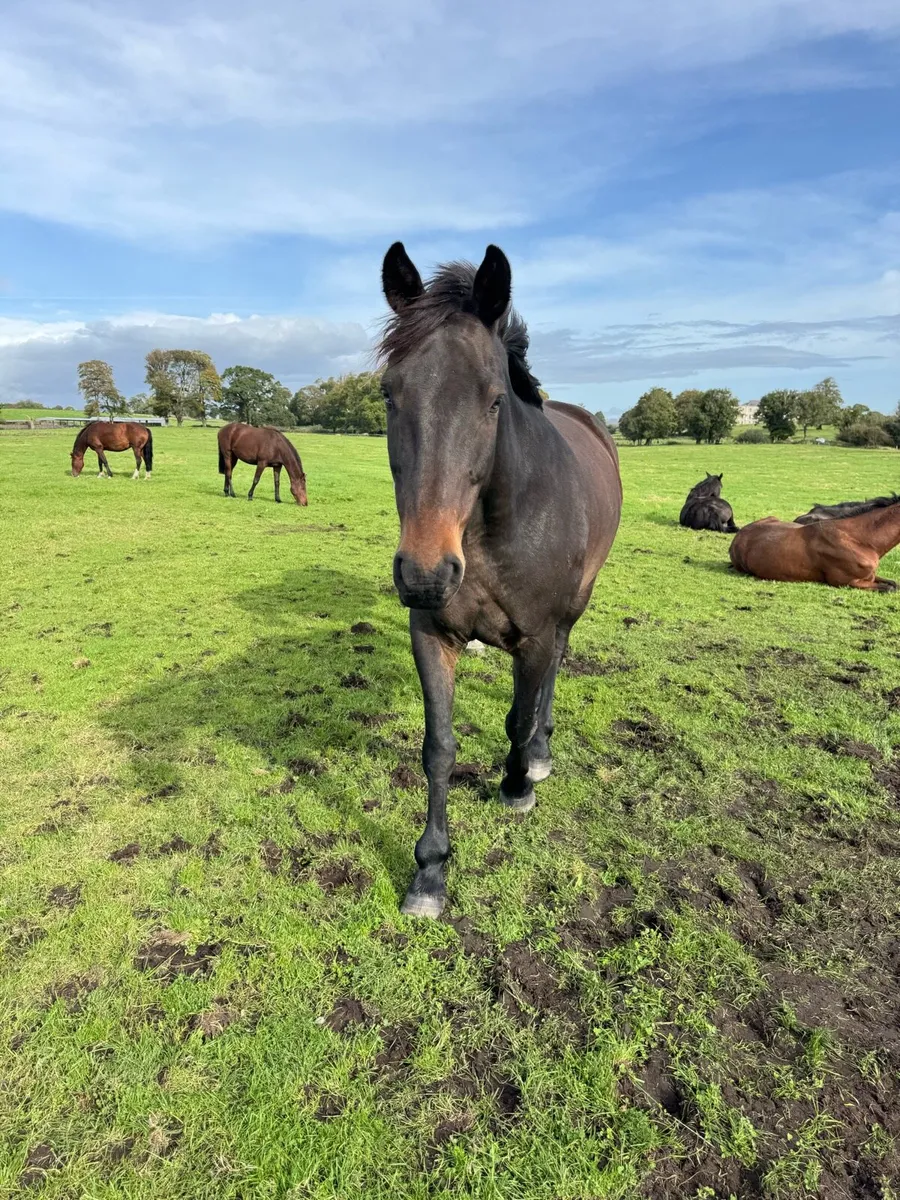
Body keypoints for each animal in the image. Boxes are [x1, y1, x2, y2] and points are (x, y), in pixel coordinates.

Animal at [378, 242, 622, 918]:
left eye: (492, 400)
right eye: (388, 395)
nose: (425, 573)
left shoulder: (533, 637)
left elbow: (518, 716)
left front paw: (515, 785)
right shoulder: (432, 636)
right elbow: (438, 747)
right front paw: (430, 873)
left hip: (573, 606)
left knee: (555, 671)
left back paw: (538, 757)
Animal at [729, 495, 900, 591]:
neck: (858, 540)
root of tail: (738, 536)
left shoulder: (870, 577)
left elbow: (894, 583)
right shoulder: (848, 582)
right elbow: (890, 588)